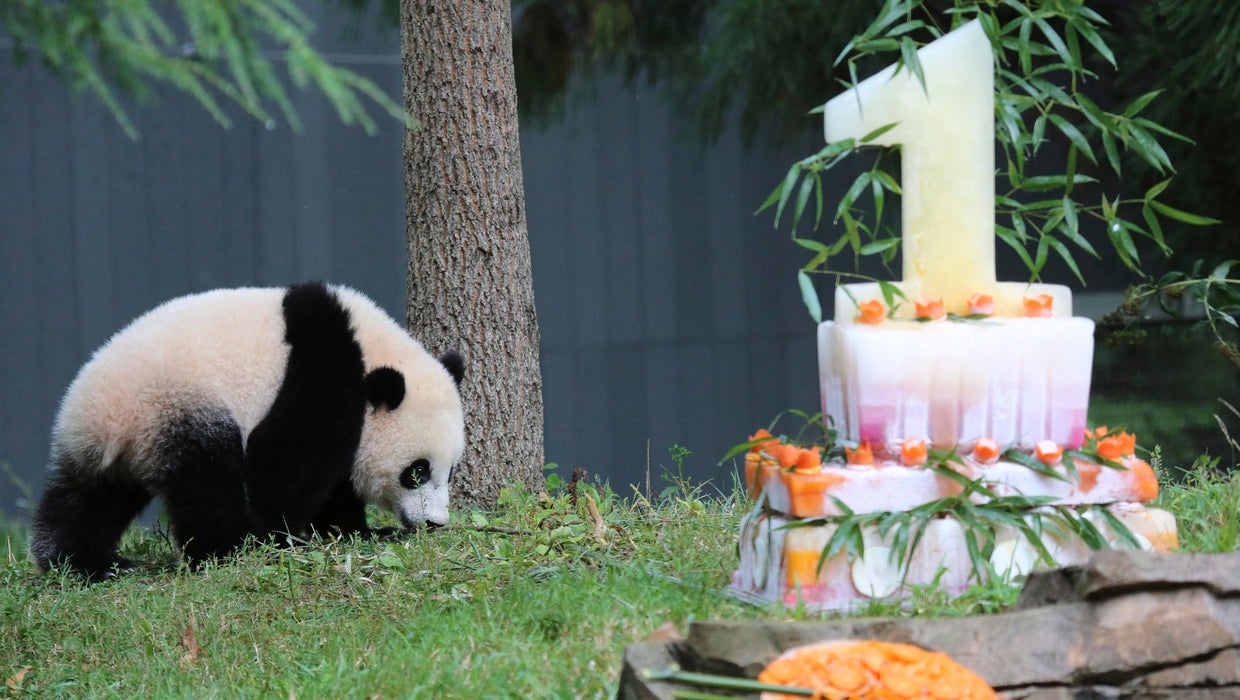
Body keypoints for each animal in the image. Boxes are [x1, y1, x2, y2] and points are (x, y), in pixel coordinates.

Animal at [28, 281, 466, 582]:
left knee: (88, 497)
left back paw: (82, 561)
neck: (371, 347)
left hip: (115, 445)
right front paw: (283, 537)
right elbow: (285, 456)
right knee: (206, 477)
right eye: (417, 471)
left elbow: (335, 480)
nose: (435, 523)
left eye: (450, 471)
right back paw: (225, 548)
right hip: (177, 403)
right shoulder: (323, 365)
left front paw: (354, 531)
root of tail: (100, 419)